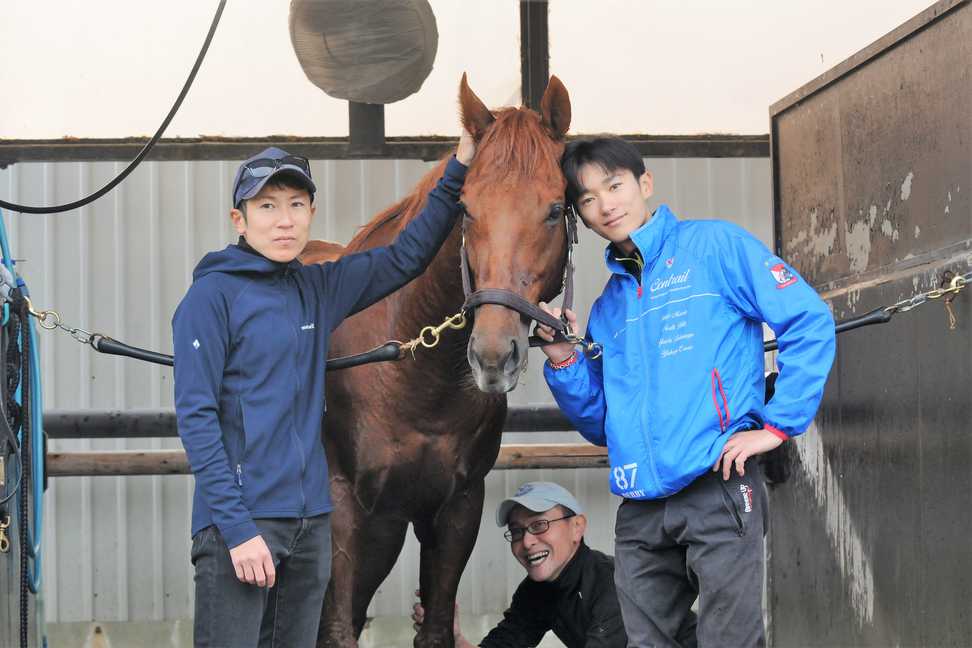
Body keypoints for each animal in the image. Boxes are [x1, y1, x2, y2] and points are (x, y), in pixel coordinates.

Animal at [306, 77, 568, 648]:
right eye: (466, 208)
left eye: (556, 208)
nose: (493, 355)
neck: (413, 381)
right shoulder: (340, 507)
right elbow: (335, 629)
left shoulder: (456, 511)